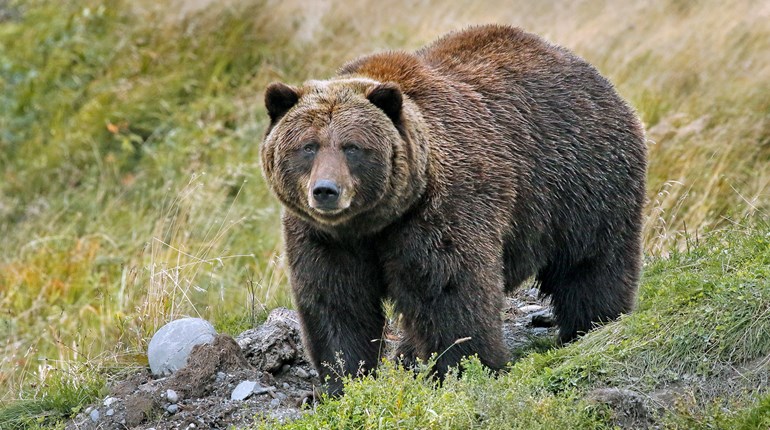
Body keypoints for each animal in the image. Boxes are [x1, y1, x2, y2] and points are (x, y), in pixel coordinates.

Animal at [260, 24, 647, 395]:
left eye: (352, 147)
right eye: (308, 146)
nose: (326, 191)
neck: (374, 223)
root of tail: (596, 77)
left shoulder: (441, 209)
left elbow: (449, 291)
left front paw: (462, 368)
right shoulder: (324, 237)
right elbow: (337, 302)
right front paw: (344, 378)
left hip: (581, 178)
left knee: (590, 261)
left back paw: (592, 323)